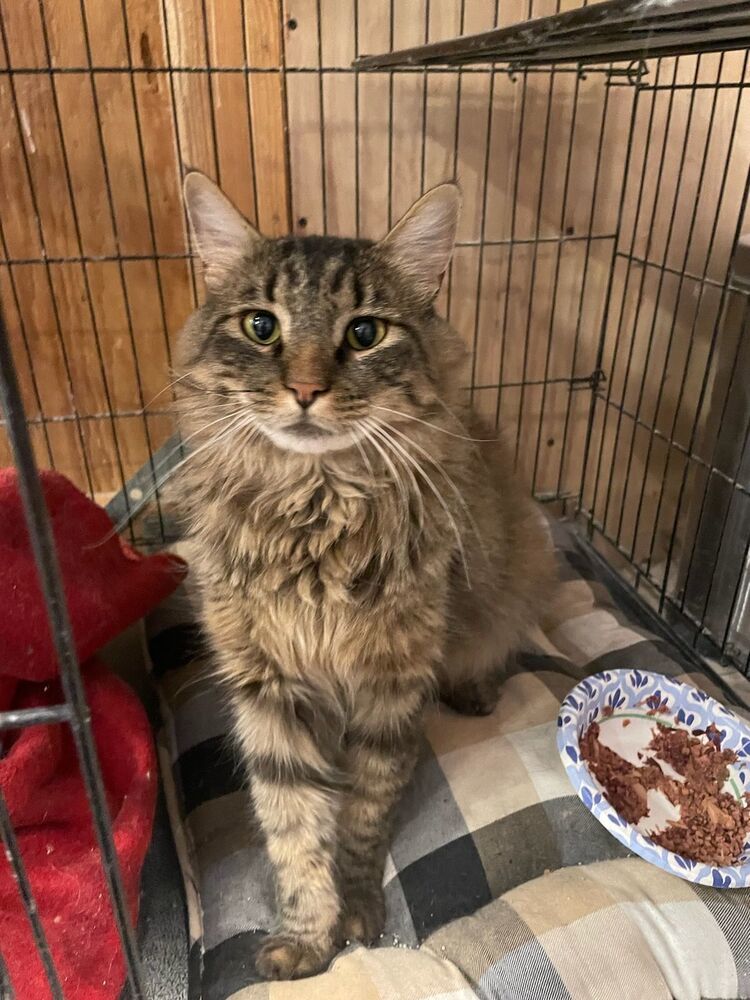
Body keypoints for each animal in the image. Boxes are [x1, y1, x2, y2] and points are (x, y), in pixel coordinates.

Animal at [176, 172, 560, 976]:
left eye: (363, 334)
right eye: (261, 326)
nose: (304, 389)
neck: (314, 513)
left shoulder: (391, 688)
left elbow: (360, 815)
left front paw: (353, 912)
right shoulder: (267, 691)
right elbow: (293, 828)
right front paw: (304, 937)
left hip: (521, 575)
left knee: (500, 644)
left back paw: (476, 688)